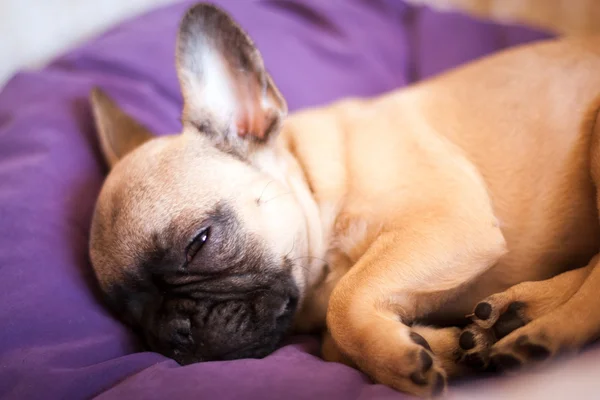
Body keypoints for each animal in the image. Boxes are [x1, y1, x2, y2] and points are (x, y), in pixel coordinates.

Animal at [89, 2, 600, 396]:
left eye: (199, 242)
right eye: (128, 313)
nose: (170, 331)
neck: (314, 186)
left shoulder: (449, 221)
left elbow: (347, 303)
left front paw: (397, 358)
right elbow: (335, 342)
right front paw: (438, 345)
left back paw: (543, 331)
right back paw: (513, 314)